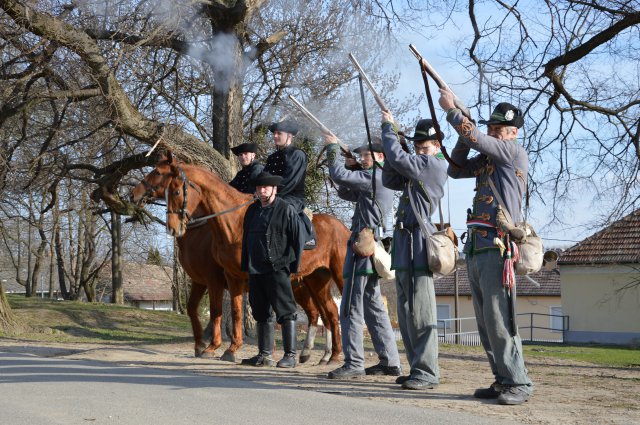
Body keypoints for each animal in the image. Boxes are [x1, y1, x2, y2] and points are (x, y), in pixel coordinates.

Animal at [132, 154, 348, 362]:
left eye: (159, 173)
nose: (134, 194)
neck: (234, 223)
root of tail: (344, 228)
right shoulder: (224, 278)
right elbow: (225, 311)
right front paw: (225, 348)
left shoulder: (219, 280)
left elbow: (222, 310)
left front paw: (216, 347)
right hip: (313, 282)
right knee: (328, 313)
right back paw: (329, 356)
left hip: (335, 278)